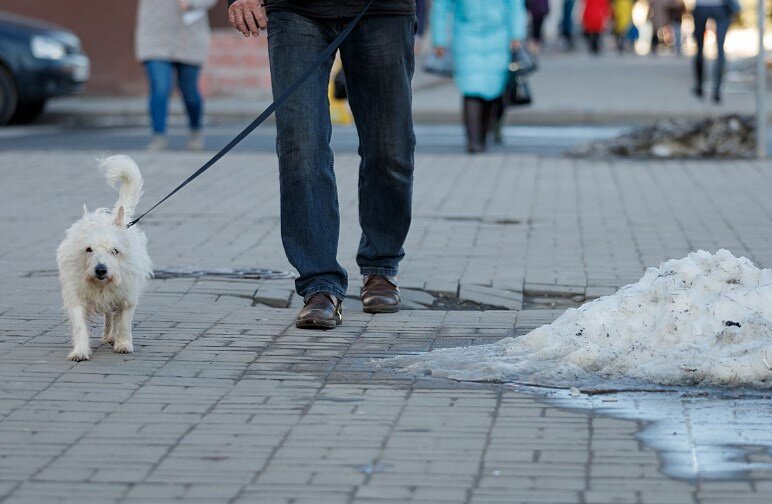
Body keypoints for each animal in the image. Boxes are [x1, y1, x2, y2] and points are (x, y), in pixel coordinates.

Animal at [55, 156, 152, 360]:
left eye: (114, 250)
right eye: (88, 249)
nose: (101, 270)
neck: (101, 285)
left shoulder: (127, 296)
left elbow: (124, 322)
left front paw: (123, 343)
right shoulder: (76, 296)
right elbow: (80, 326)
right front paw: (80, 350)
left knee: (113, 316)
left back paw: (113, 336)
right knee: (108, 315)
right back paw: (108, 335)